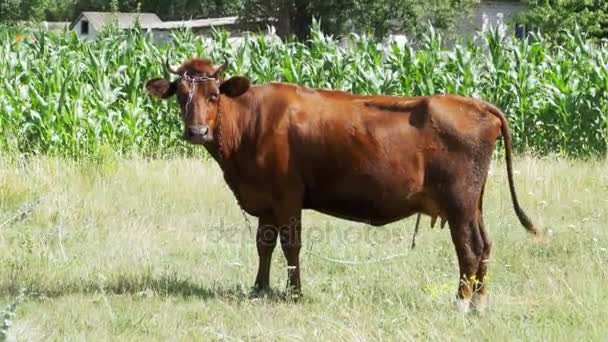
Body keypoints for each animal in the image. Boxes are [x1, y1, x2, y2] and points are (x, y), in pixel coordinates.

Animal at [145, 57, 536, 312]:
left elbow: (290, 245)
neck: (250, 121)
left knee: (469, 249)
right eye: (182, 95)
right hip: (473, 203)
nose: (197, 132)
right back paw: (480, 302)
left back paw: (461, 304)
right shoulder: (266, 198)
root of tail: (476, 104)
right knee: (485, 245)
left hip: (459, 202)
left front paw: (295, 293)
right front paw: (259, 288)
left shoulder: (287, 195)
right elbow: (263, 245)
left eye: (214, 95)